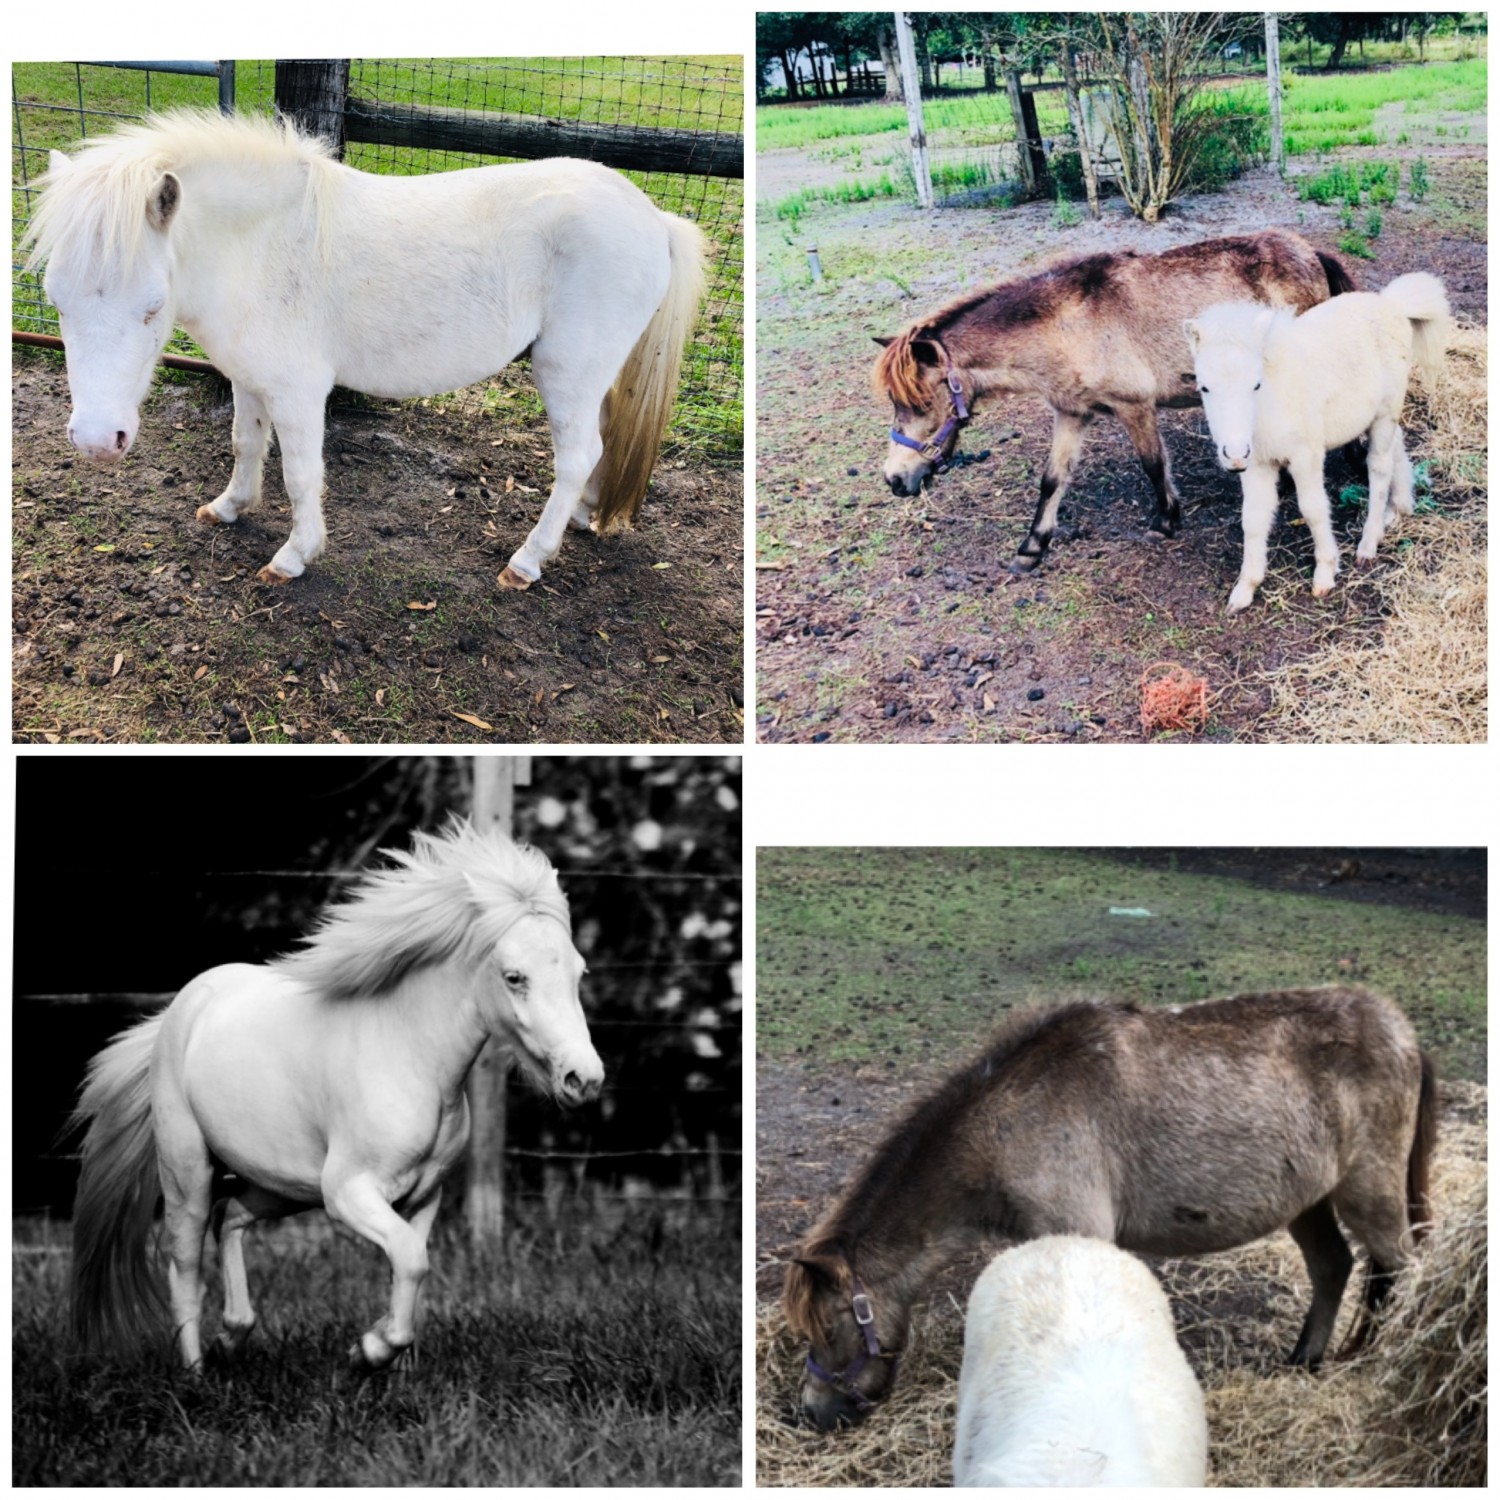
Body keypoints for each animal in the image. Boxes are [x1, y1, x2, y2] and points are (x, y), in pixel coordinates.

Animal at [22, 109, 706, 590]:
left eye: (152, 306)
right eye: (56, 300)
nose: (95, 442)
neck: (260, 247)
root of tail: (653, 219)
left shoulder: (298, 391)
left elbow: (301, 473)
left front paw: (295, 556)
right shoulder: (249, 378)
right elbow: (246, 444)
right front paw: (230, 507)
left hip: (567, 370)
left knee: (577, 455)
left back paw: (528, 560)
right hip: (595, 375)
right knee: (598, 446)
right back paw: (585, 517)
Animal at [67, 818, 604, 1371]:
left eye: (578, 972)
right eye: (514, 977)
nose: (583, 1079)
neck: (408, 1057)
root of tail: (182, 1007)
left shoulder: (422, 1197)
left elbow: (407, 1269)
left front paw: (392, 1363)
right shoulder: (348, 1191)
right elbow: (412, 1262)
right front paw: (367, 1351)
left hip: (280, 1185)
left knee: (230, 1217)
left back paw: (232, 1336)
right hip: (186, 1171)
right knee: (186, 1266)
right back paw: (196, 1373)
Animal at [784, 986, 1436, 1430]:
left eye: (830, 1329)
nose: (812, 1413)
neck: (1010, 1119)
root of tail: (1403, 1029)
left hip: (1370, 1196)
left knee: (1402, 1274)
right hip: (1310, 1203)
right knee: (1334, 1268)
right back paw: (1304, 1363)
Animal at [872, 229, 1355, 573]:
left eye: (919, 402)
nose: (895, 480)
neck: (1066, 327)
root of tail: (1311, 252)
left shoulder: (1135, 407)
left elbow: (1154, 465)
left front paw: (1165, 522)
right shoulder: (1071, 414)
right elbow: (1052, 480)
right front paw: (1032, 546)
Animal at [1184, 272, 1449, 613]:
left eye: (1256, 384)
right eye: (1204, 388)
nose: (1234, 453)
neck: (1271, 405)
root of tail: (1392, 303)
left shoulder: (1304, 456)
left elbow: (1312, 509)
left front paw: (1325, 572)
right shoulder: (1256, 465)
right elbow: (1253, 519)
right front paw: (1244, 589)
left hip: (1384, 413)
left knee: (1379, 468)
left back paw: (1368, 543)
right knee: (1397, 446)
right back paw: (1399, 509)